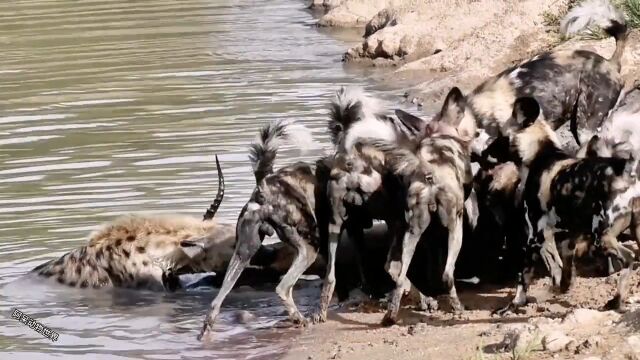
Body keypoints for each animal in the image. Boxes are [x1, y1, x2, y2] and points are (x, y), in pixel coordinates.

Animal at [496, 97, 636, 314]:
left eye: (499, 136)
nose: (483, 152)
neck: (541, 154)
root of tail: (624, 172)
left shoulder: (534, 236)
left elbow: (523, 278)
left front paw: (513, 305)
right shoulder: (568, 236)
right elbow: (565, 270)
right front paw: (561, 289)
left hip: (601, 237)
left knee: (629, 258)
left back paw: (616, 301)